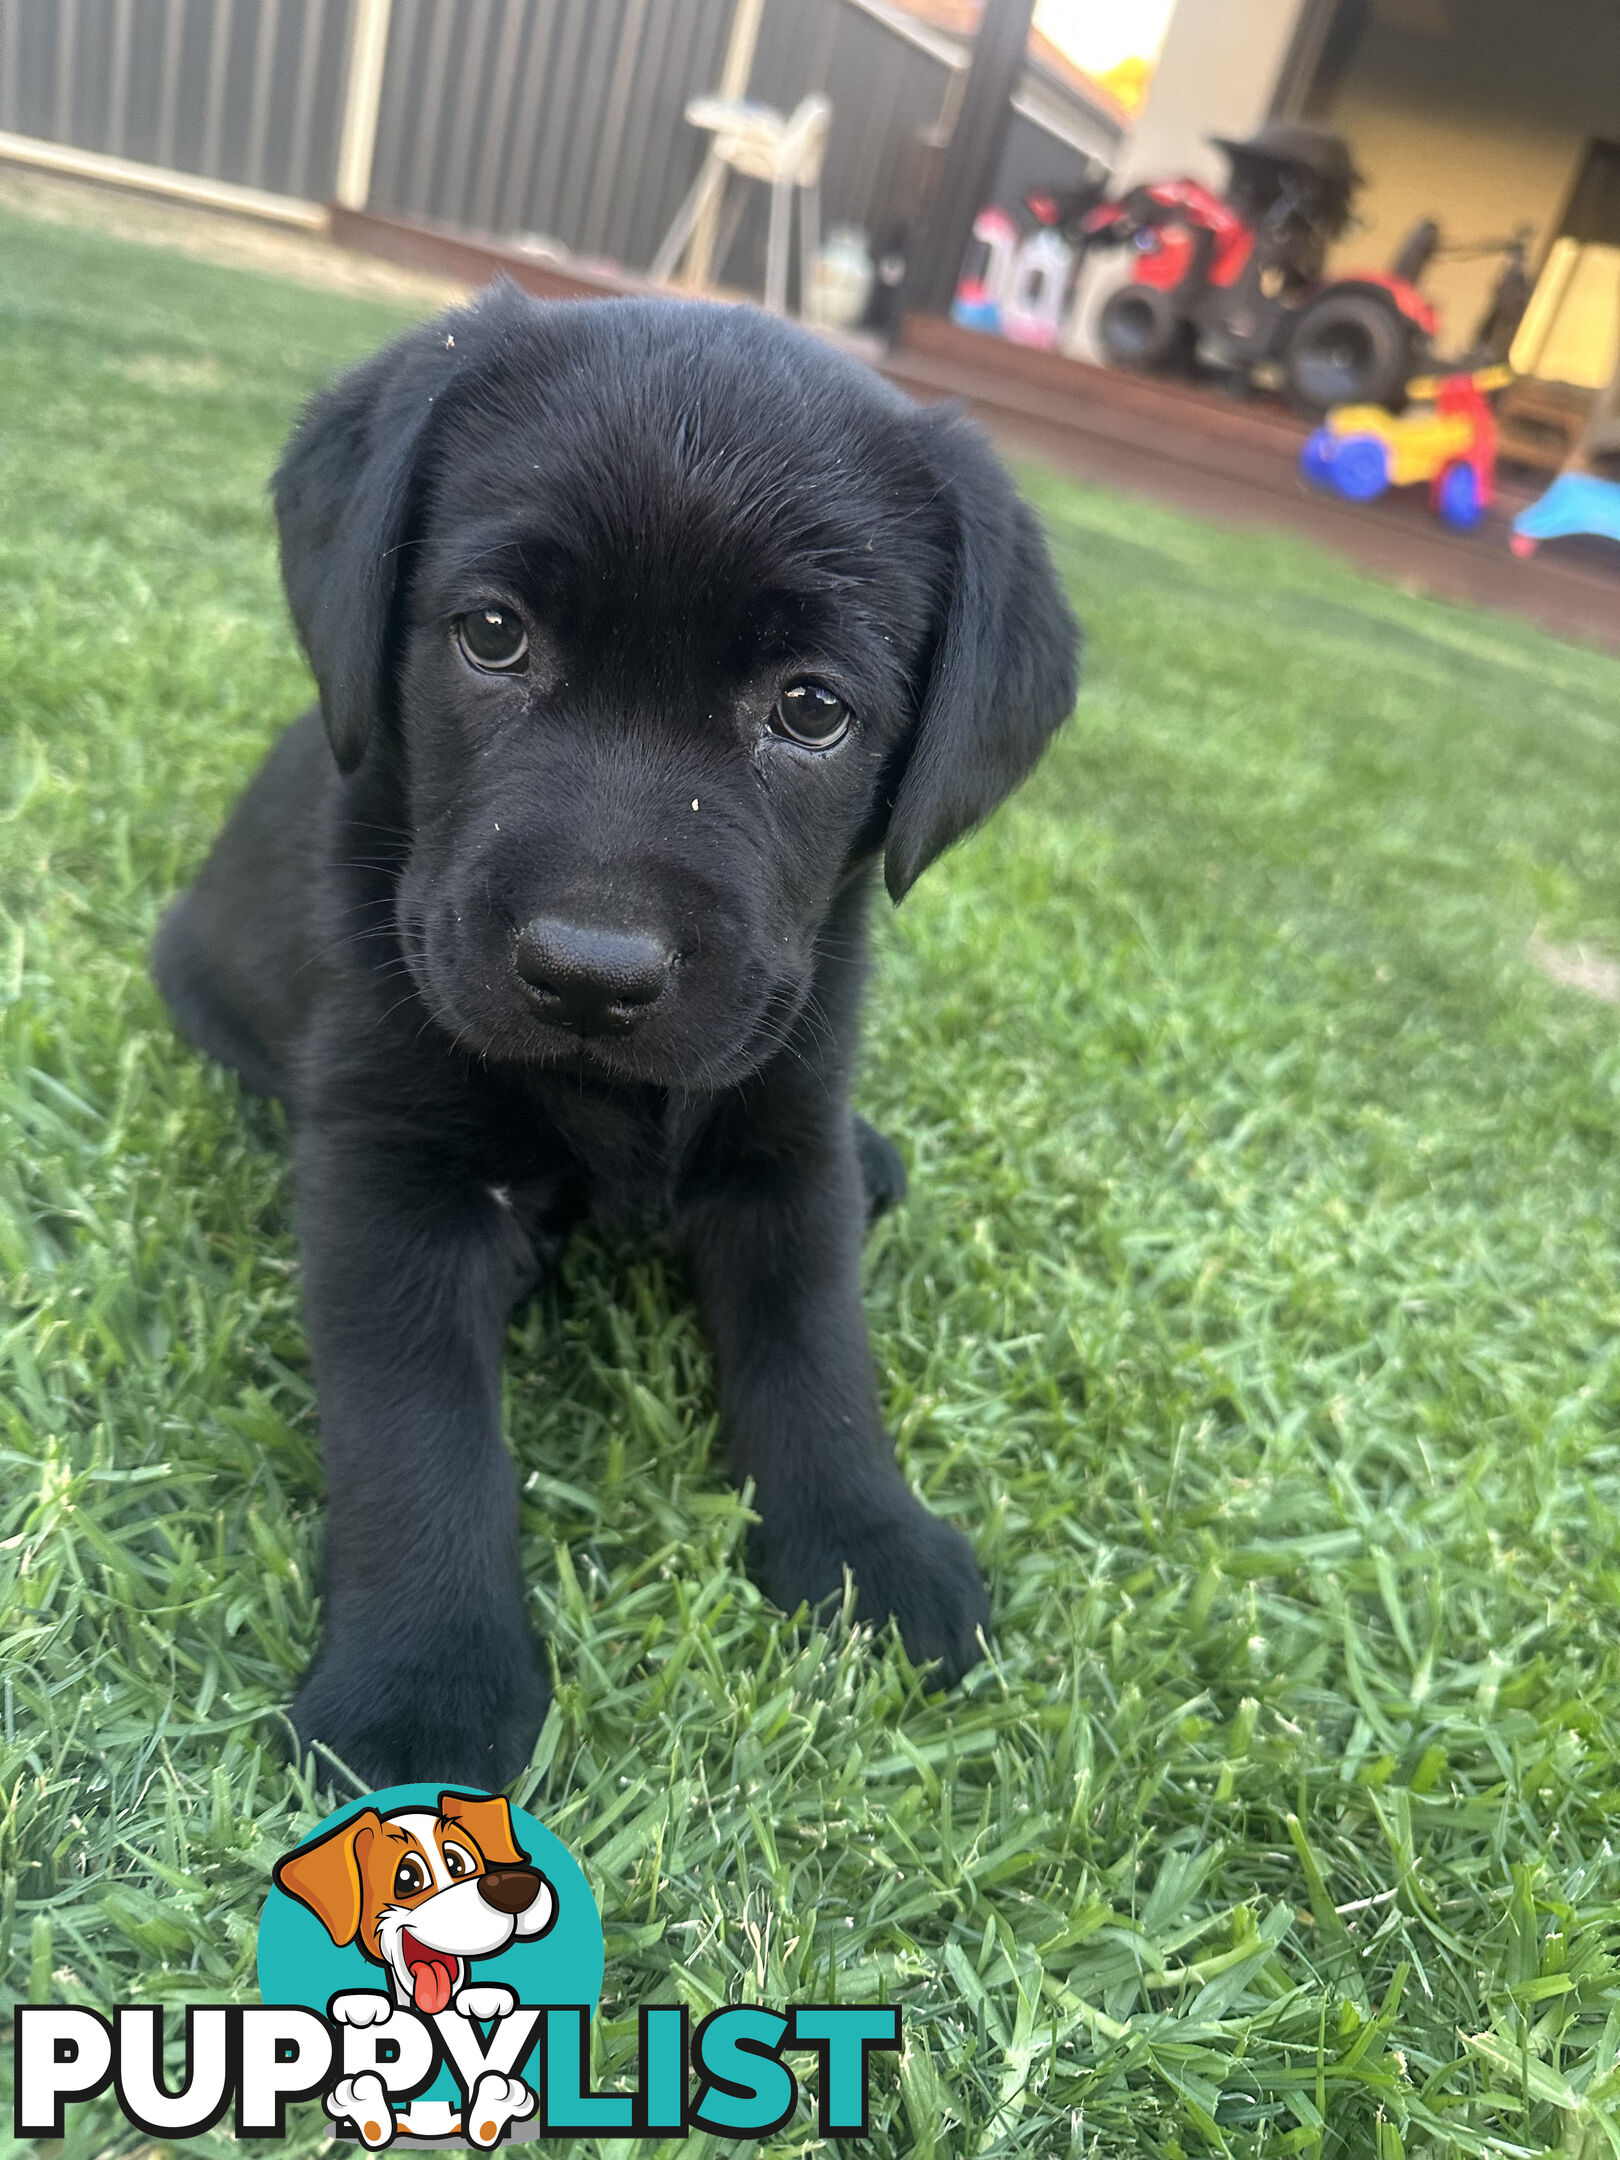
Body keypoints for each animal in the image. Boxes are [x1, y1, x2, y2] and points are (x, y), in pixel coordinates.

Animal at [155, 278, 1080, 1779]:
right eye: (492, 635)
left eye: (811, 709)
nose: (589, 975)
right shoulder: (389, 1174)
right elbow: (417, 1433)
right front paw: (420, 1690)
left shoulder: (787, 1135)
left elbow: (817, 1352)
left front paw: (866, 1545)